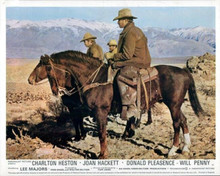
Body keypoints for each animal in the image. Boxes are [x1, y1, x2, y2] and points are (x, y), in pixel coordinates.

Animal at [28, 50, 205, 159]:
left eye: (43, 66)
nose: (29, 79)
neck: (95, 78)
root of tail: (184, 72)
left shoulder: (100, 112)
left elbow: (101, 134)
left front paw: (102, 155)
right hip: (176, 105)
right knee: (183, 120)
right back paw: (186, 147)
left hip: (173, 105)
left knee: (176, 123)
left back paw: (172, 150)